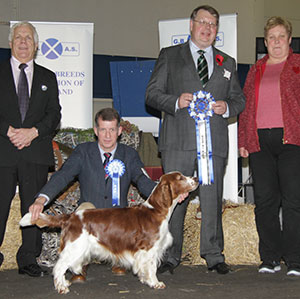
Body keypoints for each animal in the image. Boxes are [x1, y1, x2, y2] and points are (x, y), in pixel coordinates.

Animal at [19, 172, 198, 294]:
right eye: (180, 178)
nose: (196, 179)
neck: (156, 210)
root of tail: (70, 216)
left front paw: (145, 280)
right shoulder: (150, 248)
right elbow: (152, 267)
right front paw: (155, 283)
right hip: (75, 247)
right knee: (59, 266)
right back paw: (62, 287)